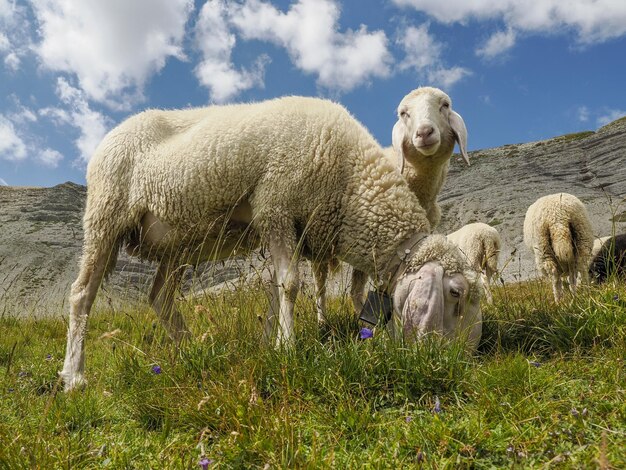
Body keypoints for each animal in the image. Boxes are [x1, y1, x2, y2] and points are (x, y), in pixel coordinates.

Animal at [61, 95, 482, 390]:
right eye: (456, 293)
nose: (462, 364)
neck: (350, 183)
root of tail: (109, 136)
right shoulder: (275, 207)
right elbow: (291, 284)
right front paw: (288, 349)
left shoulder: (292, 228)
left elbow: (276, 290)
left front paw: (271, 342)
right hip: (106, 213)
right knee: (82, 294)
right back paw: (74, 376)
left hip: (178, 241)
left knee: (161, 297)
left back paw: (195, 350)